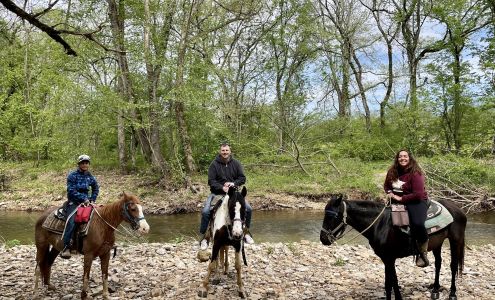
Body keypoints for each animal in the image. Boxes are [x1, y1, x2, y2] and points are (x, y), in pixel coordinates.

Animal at [320, 195, 466, 300]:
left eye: (332, 216)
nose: (323, 239)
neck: (380, 224)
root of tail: (458, 209)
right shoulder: (386, 259)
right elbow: (389, 281)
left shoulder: (390, 258)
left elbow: (392, 281)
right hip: (438, 243)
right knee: (438, 264)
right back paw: (435, 290)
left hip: (455, 241)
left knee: (453, 266)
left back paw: (452, 293)